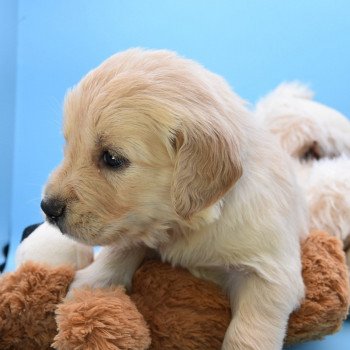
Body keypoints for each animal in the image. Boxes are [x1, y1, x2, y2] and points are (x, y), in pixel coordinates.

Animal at [42, 49, 308, 350]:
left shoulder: (271, 272)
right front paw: (88, 285)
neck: (188, 225)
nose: (47, 208)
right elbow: (122, 247)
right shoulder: (140, 225)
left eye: (111, 158)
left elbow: (249, 331)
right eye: (68, 145)